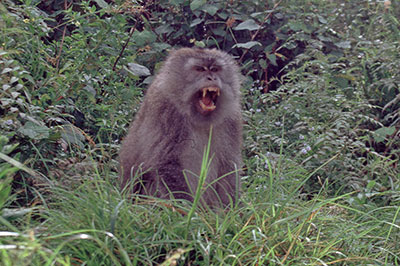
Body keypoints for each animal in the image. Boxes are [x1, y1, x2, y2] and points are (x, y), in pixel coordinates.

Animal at [119, 48, 242, 210]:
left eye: (215, 69)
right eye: (199, 69)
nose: (212, 78)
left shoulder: (232, 117)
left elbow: (228, 166)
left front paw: (231, 210)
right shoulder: (166, 109)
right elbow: (167, 162)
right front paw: (188, 210)